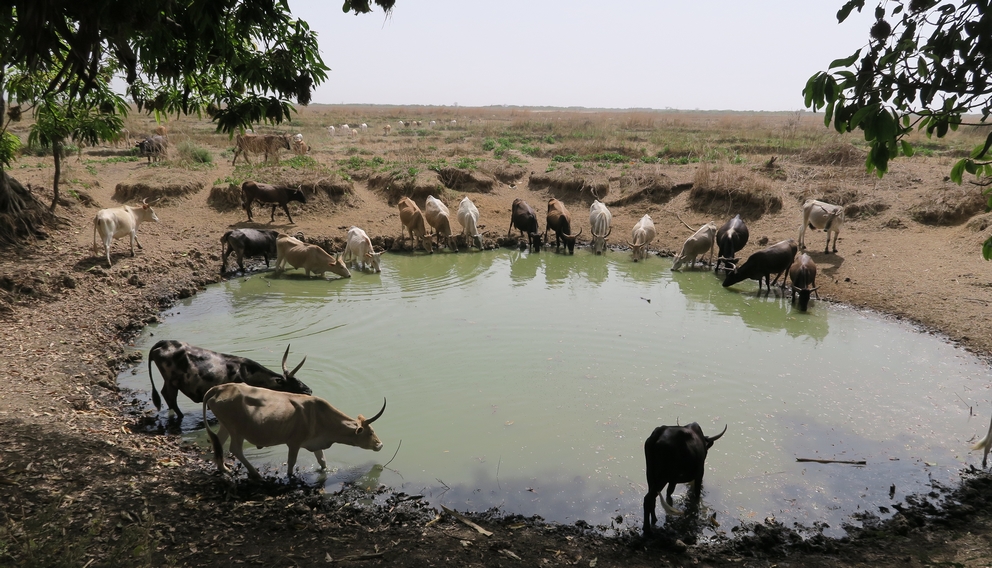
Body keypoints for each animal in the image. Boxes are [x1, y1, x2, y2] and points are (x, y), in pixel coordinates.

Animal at [145, 340, 310, 420]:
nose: (309, 390)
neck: (247, 373)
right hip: (171, 381)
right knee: (169, 396)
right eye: (293, 384)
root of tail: (163, 343)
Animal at [203, 382, 386, 480]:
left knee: (218, 443)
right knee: (235, 449)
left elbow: (322, 461)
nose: (380, 445)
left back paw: (224, 468)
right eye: (370, 432)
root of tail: (220, 387)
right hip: (236, 430)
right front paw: (291, 477)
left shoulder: (315, 442)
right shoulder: (294, 442)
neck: (321, 415)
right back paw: (255, 473)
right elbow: (291, 462)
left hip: (225, 425)